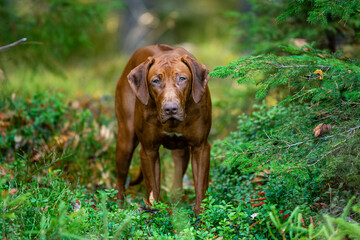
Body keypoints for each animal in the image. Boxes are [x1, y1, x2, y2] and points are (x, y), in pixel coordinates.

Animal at [114, 43, 211, 216]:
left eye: (182, 78)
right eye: (155, 81)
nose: (170, 108)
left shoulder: (201, 147)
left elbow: (201, 188)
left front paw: (200, 216)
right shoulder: (148, 150)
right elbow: (152, 188)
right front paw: (154, 215)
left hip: (181, 152)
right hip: (125, 141)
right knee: (120, 181)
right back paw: (119, 210)